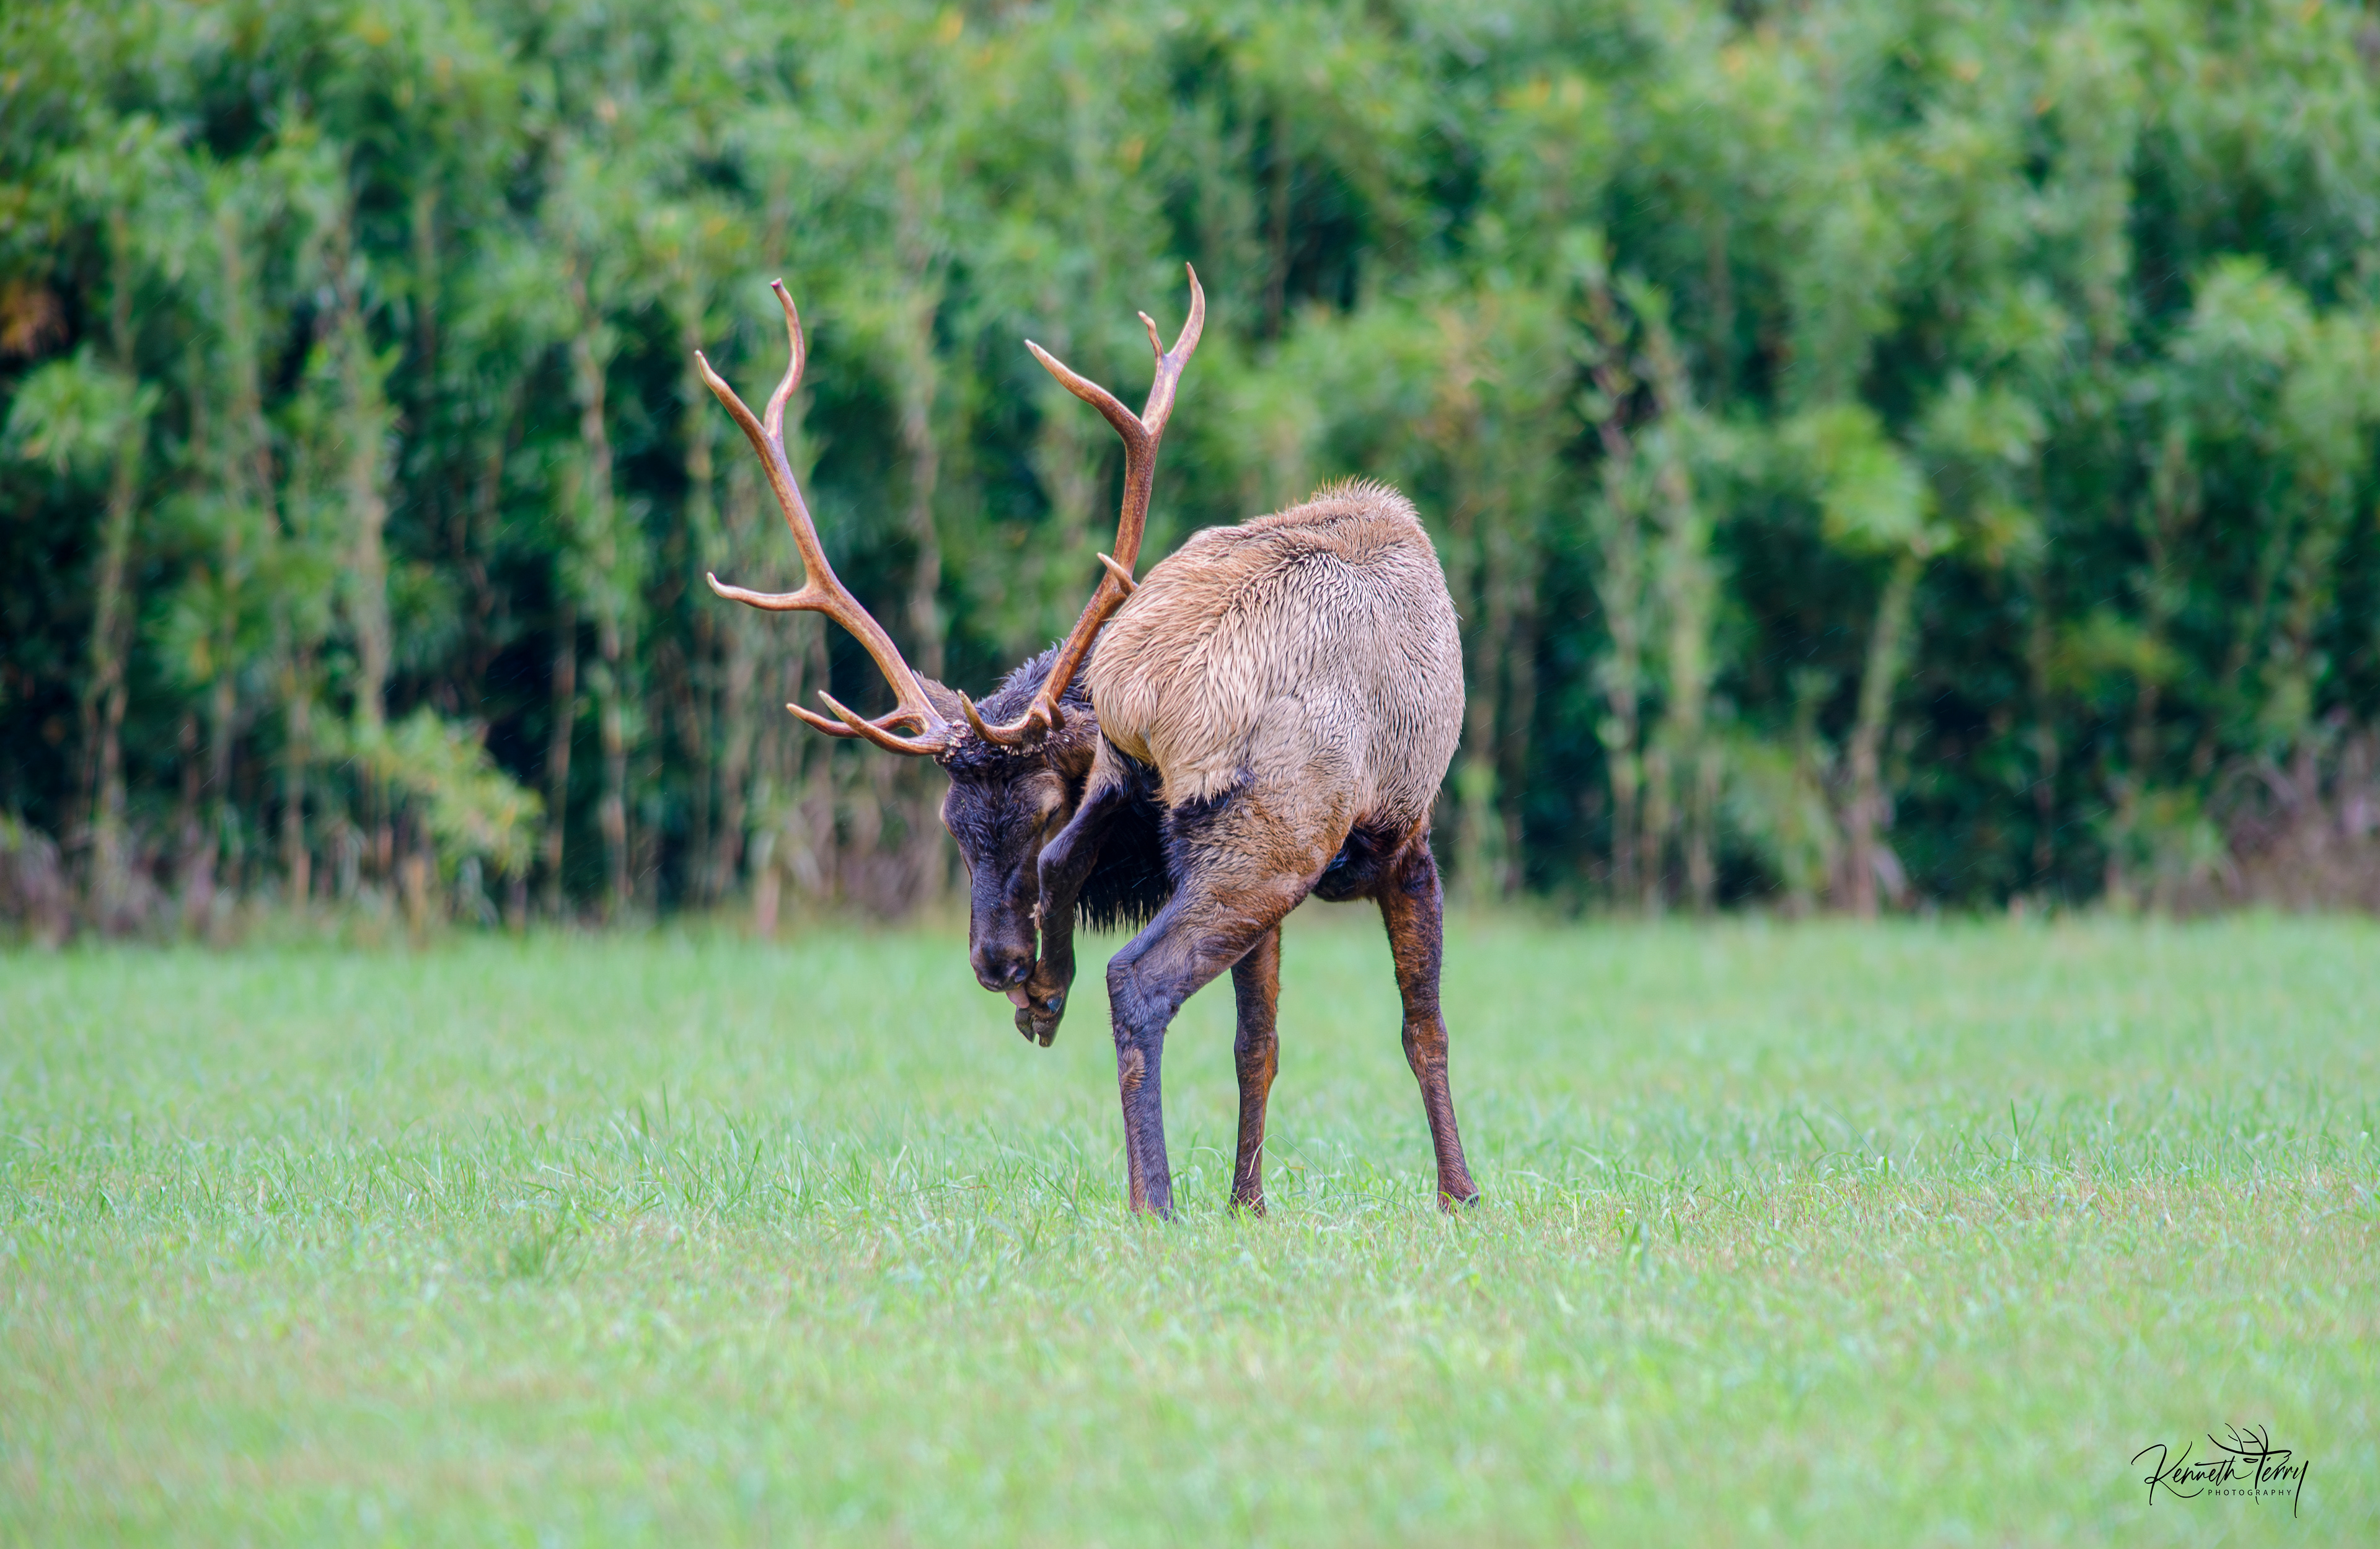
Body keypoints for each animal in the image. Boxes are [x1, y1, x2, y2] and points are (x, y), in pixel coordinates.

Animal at [697, 267, 1478, 1217]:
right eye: (953, 827)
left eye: (1022, 810)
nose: (994, 961)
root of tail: (1137, 690)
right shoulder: (1409, 838)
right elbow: (1424, 1028)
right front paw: (1460, 1196)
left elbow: (1257, 1042)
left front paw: (1249, 1201)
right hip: (1273, 836)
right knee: (1137, 978)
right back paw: (1153, 1196)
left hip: (1153, 793)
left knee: (1077, 874)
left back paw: (1051, 1000)